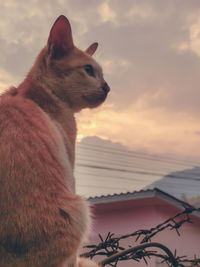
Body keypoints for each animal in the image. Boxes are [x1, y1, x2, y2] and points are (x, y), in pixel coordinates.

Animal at [0, 15, 109, 267]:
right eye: (89, 70)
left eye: (102, 73)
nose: (107, 87)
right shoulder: (70, 173)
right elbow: (74, 257)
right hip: (78, 208)